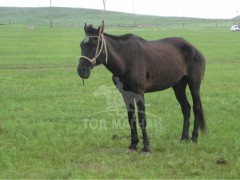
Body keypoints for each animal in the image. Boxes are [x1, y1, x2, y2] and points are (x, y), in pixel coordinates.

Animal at [78, 21, 205, 153]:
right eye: (81, 45)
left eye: (95, 43)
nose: (81, 70)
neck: (126, 59)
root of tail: (196, 50)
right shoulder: (126, 93)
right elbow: (131, 118)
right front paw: (133, 145)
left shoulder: (139, 92)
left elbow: (142, 118)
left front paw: (146, 148)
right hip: (178, 86)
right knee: (186, 108)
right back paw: (184, 138)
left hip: (194, 84)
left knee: (196, 107)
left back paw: (194, 138)